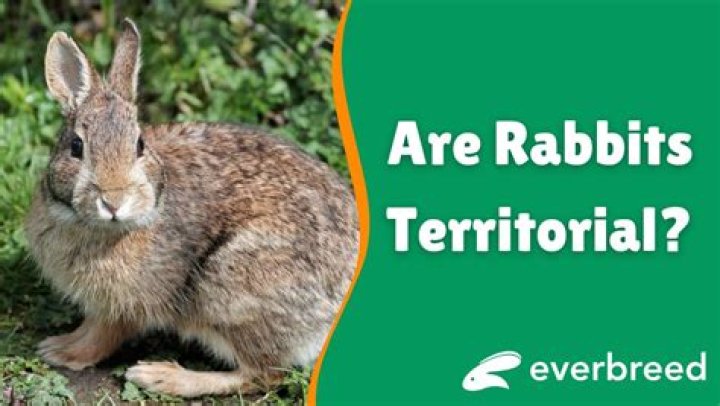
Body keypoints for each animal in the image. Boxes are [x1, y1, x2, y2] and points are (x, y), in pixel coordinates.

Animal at [24, 18, 358, 398]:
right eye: (76, 147)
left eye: (139, 145)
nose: (113, 200)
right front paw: (60, 344)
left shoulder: (126, 306)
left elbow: (103, 334)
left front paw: (62, 352)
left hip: (230, 290)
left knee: (262, 373)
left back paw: (161, 376)